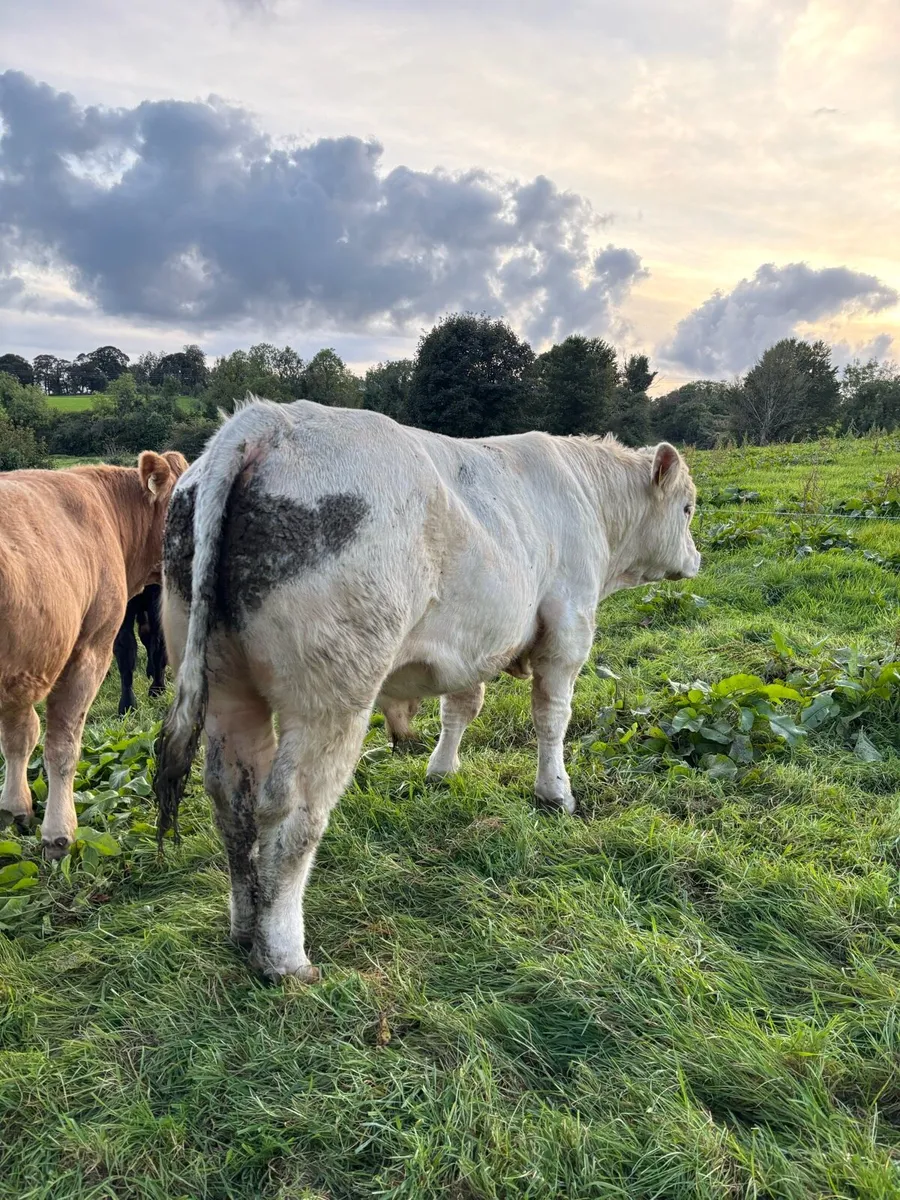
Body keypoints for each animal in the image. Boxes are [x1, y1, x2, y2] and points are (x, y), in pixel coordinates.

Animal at [154, 399, 700, 982]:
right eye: (688, 508)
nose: (696, 559)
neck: (587, 495)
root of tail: (266, 420)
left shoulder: (473, 644)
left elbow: (461, 706)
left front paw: (441, 770)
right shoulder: (568, 627)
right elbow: (552, 717)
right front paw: (554, 792)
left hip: (227, 690)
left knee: (231, 796)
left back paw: (244, 925)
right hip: (332, 695)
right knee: (291, 808)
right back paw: (283, 954)